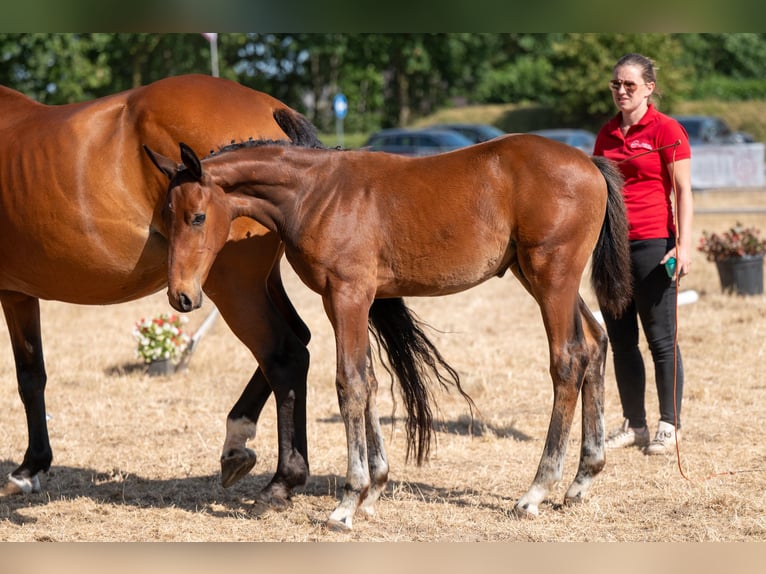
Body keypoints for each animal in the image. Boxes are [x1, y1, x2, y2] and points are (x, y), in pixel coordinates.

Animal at [0, 74, 324, 504]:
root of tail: (269, 107)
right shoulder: (18, 293)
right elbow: (31, 374)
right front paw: (31, 467)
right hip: (263, 280)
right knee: (298, 340)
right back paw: (238, 445)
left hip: (235, 287)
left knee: (283, 354)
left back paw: (282, 478)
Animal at [146, 135, 632, 530]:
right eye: (165, 218)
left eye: (197, 217)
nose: (181, 297)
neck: (317, 193)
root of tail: (589, 163)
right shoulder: (343, 300)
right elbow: (371, 381)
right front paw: (373, 489)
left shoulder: (348, 295)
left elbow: (350, 384)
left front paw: (346, 503)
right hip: (536, 277)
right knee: (596, 343)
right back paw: (582, 479)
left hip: (552, 277)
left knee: (568, 359)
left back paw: (536, 490)